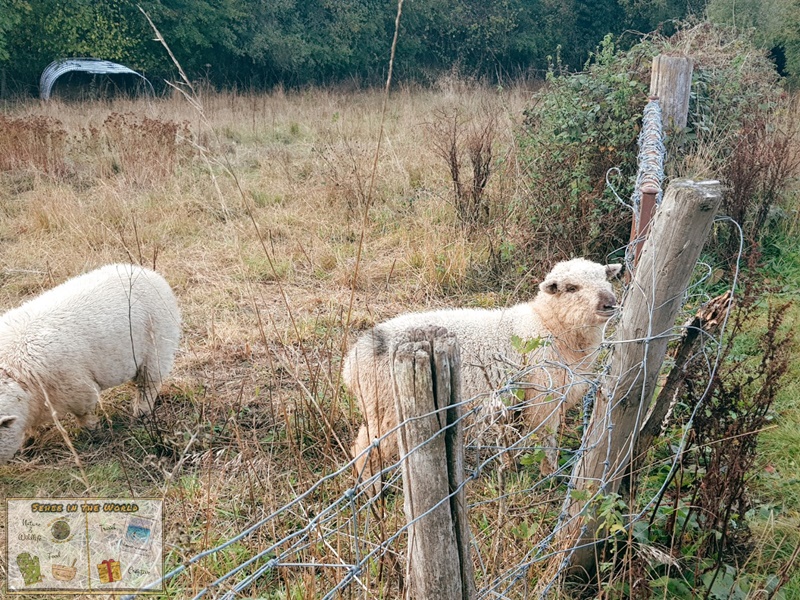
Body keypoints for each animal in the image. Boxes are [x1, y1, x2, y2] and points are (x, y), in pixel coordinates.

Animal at [0, 264, 181, 466]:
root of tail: (148, 272)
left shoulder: (77, 389)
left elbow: (85, 415)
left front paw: (94, 435)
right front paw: (28, 443)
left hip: (158, 345)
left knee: (148, 385)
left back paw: (141, 414)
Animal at [340, 255, 620, 480]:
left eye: (605, 278)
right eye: (571, 288)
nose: (610, 303)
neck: (548, 325)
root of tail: (352, 361)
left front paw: (511, 465)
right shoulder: (542, 397)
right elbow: (546, 439)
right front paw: (549, 474)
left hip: (377, 408)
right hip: (388, 409)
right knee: (365, 448)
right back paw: (372, 491)